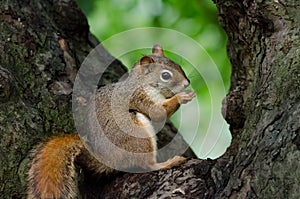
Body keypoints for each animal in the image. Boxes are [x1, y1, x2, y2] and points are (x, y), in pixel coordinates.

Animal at [27, 44, 196, 198]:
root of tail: (105, 159)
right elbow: (157, 113)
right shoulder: (139, 97)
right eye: (165, 75)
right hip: (137, 135)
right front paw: (182, 97)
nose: (187, 83)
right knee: (146, 164)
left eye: (178, 65)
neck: (141, 83)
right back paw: (167, 163)